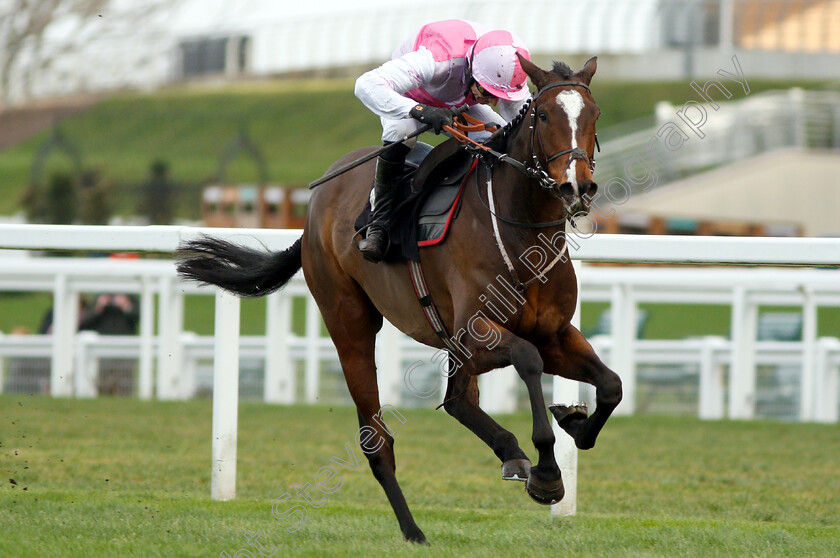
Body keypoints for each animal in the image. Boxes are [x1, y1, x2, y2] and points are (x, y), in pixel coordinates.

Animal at [177, 58, 620, 548]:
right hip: (349, 325)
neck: (520, 233)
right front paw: (546, 473)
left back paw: (508, 453)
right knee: (378, 440)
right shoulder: (480, 332)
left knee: (457, 401)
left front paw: (574, 422)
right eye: (543, 115)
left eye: (595, 113)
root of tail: (312, 212)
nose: (577, 187)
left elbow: (611, 385)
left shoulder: (553, 333)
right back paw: (413, 529)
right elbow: (528, 360)